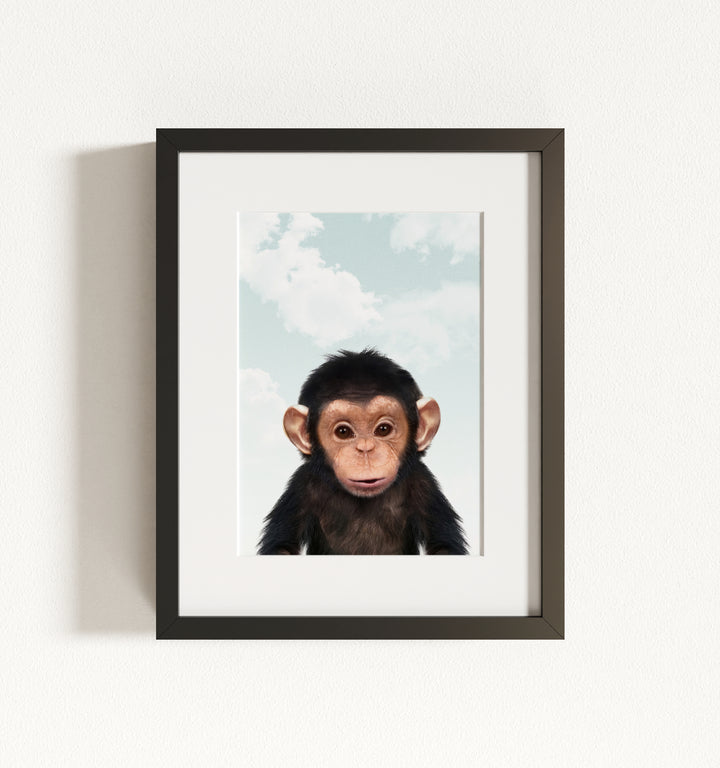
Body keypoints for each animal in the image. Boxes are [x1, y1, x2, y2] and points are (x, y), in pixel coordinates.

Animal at [257, 349, 468, 555]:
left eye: (383, 429)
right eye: (343, 432)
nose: (365, 449)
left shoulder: (424, 484)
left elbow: (443, 545)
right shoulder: (301, 486)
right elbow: (282, 546)